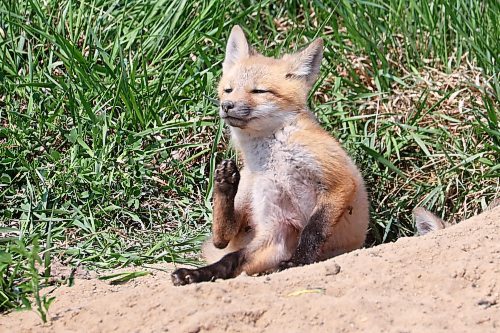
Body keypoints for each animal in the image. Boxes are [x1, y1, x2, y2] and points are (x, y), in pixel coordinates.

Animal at [172, 26, 372, 286]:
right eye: (228, 89)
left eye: (259, 91)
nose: (227, 105)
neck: (276, 159)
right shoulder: (276, 226)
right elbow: (230, 259)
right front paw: (198, 273)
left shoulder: (338, 181)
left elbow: (313, 231)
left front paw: (297, 262)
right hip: (247, 191)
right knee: (222, 240)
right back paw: (224, 185)